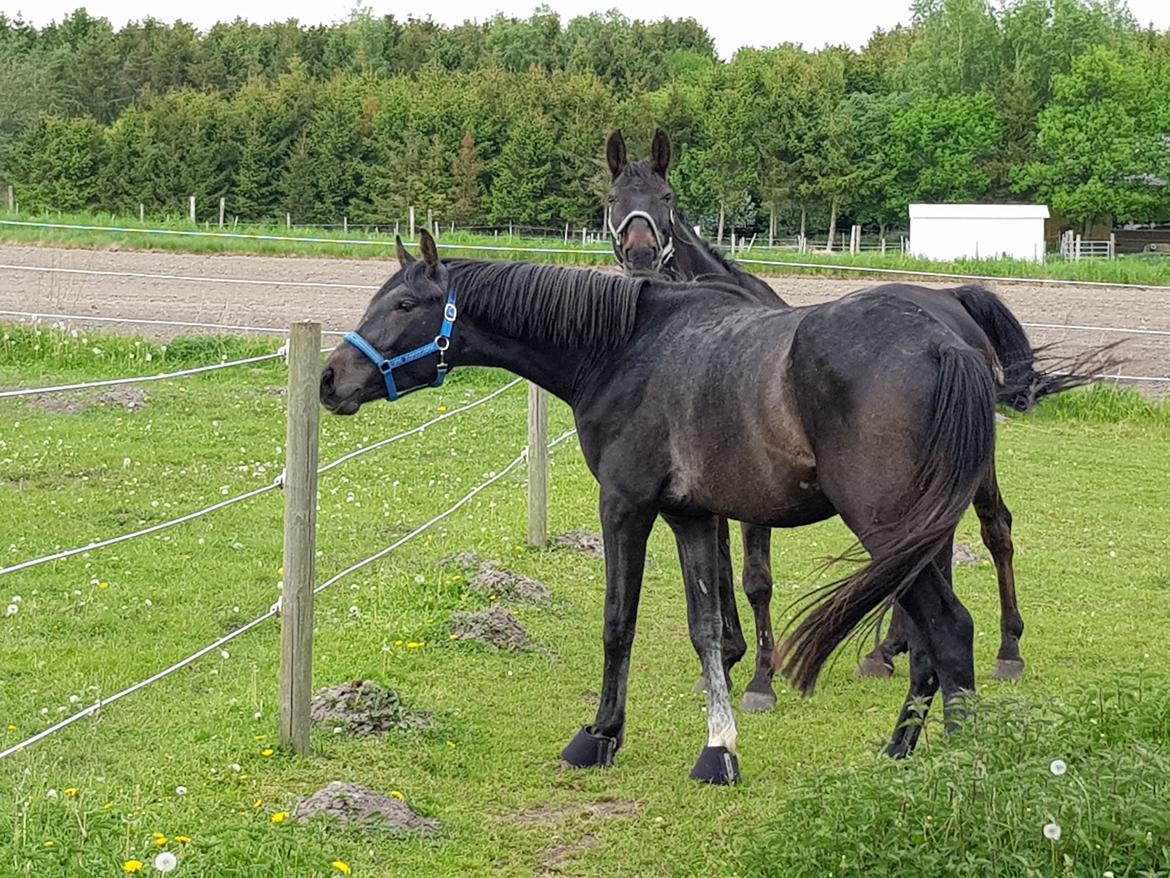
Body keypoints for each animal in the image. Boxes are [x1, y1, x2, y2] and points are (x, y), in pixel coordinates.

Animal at [320, 230, 996, 786]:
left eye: (404, 305)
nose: (330, 379)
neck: (624, 350)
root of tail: (944, 345)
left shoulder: (625, 506)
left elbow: (618, 623)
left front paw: (600, 735)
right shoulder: (690, 516)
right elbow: (707, 631)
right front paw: (719, 750)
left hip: (887, 530)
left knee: (949, 630)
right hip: (920, 541)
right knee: (927, 646)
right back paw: (898, 756)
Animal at [608, 128, 1109, 707]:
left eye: (666, 198)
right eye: (614, 198)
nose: (642, 257)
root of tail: (951, 304)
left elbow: (756, 578)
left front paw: (760, 680)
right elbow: (722, 569)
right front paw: (726, 663)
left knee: (994, 529)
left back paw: (1006, 651)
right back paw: (888, 649)